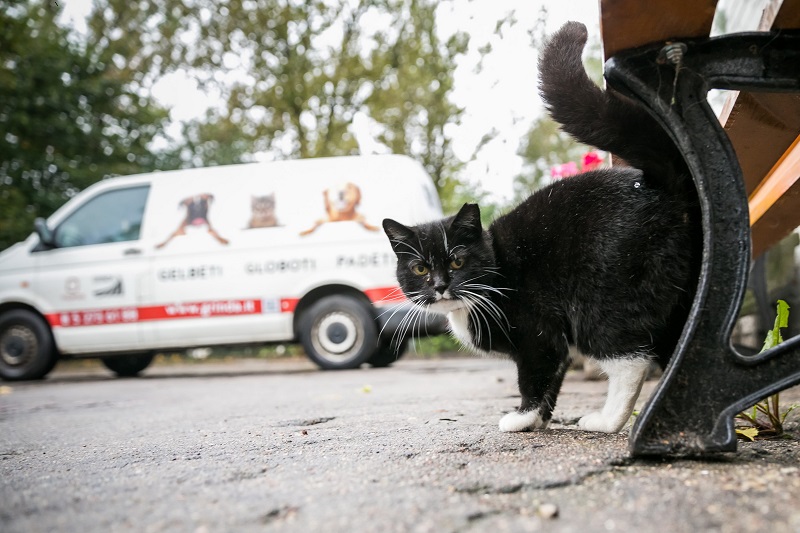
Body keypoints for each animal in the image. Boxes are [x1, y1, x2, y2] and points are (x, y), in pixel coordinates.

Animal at [382, 22, 700, 434]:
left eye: (457, 261)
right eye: (420, 268)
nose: (438, 285)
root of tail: (660, 186)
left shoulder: (539, 331)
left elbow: (534, 375)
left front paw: (521, 418)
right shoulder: (555, 342)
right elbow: (554, 378)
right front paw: (539, 420)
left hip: (604, 294)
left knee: (631, 359)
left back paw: (606, 420)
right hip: (678, 293)